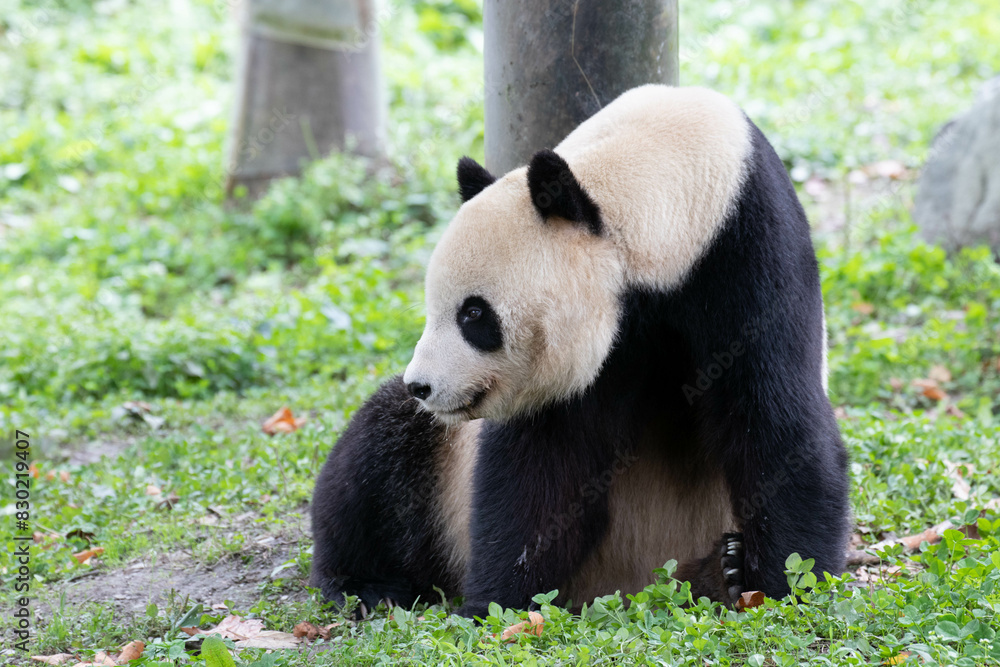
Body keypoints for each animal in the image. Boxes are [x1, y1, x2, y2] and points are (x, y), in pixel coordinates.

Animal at [310, 85, 850, 618]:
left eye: (473, 314)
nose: (421, 385)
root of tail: (627, 588)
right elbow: (539, 466)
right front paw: (497, 605)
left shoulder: (747, 255)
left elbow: (773, 418)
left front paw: (780, 586)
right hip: (442, 475)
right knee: (376, 456)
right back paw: (365, 586)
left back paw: (723, 572)